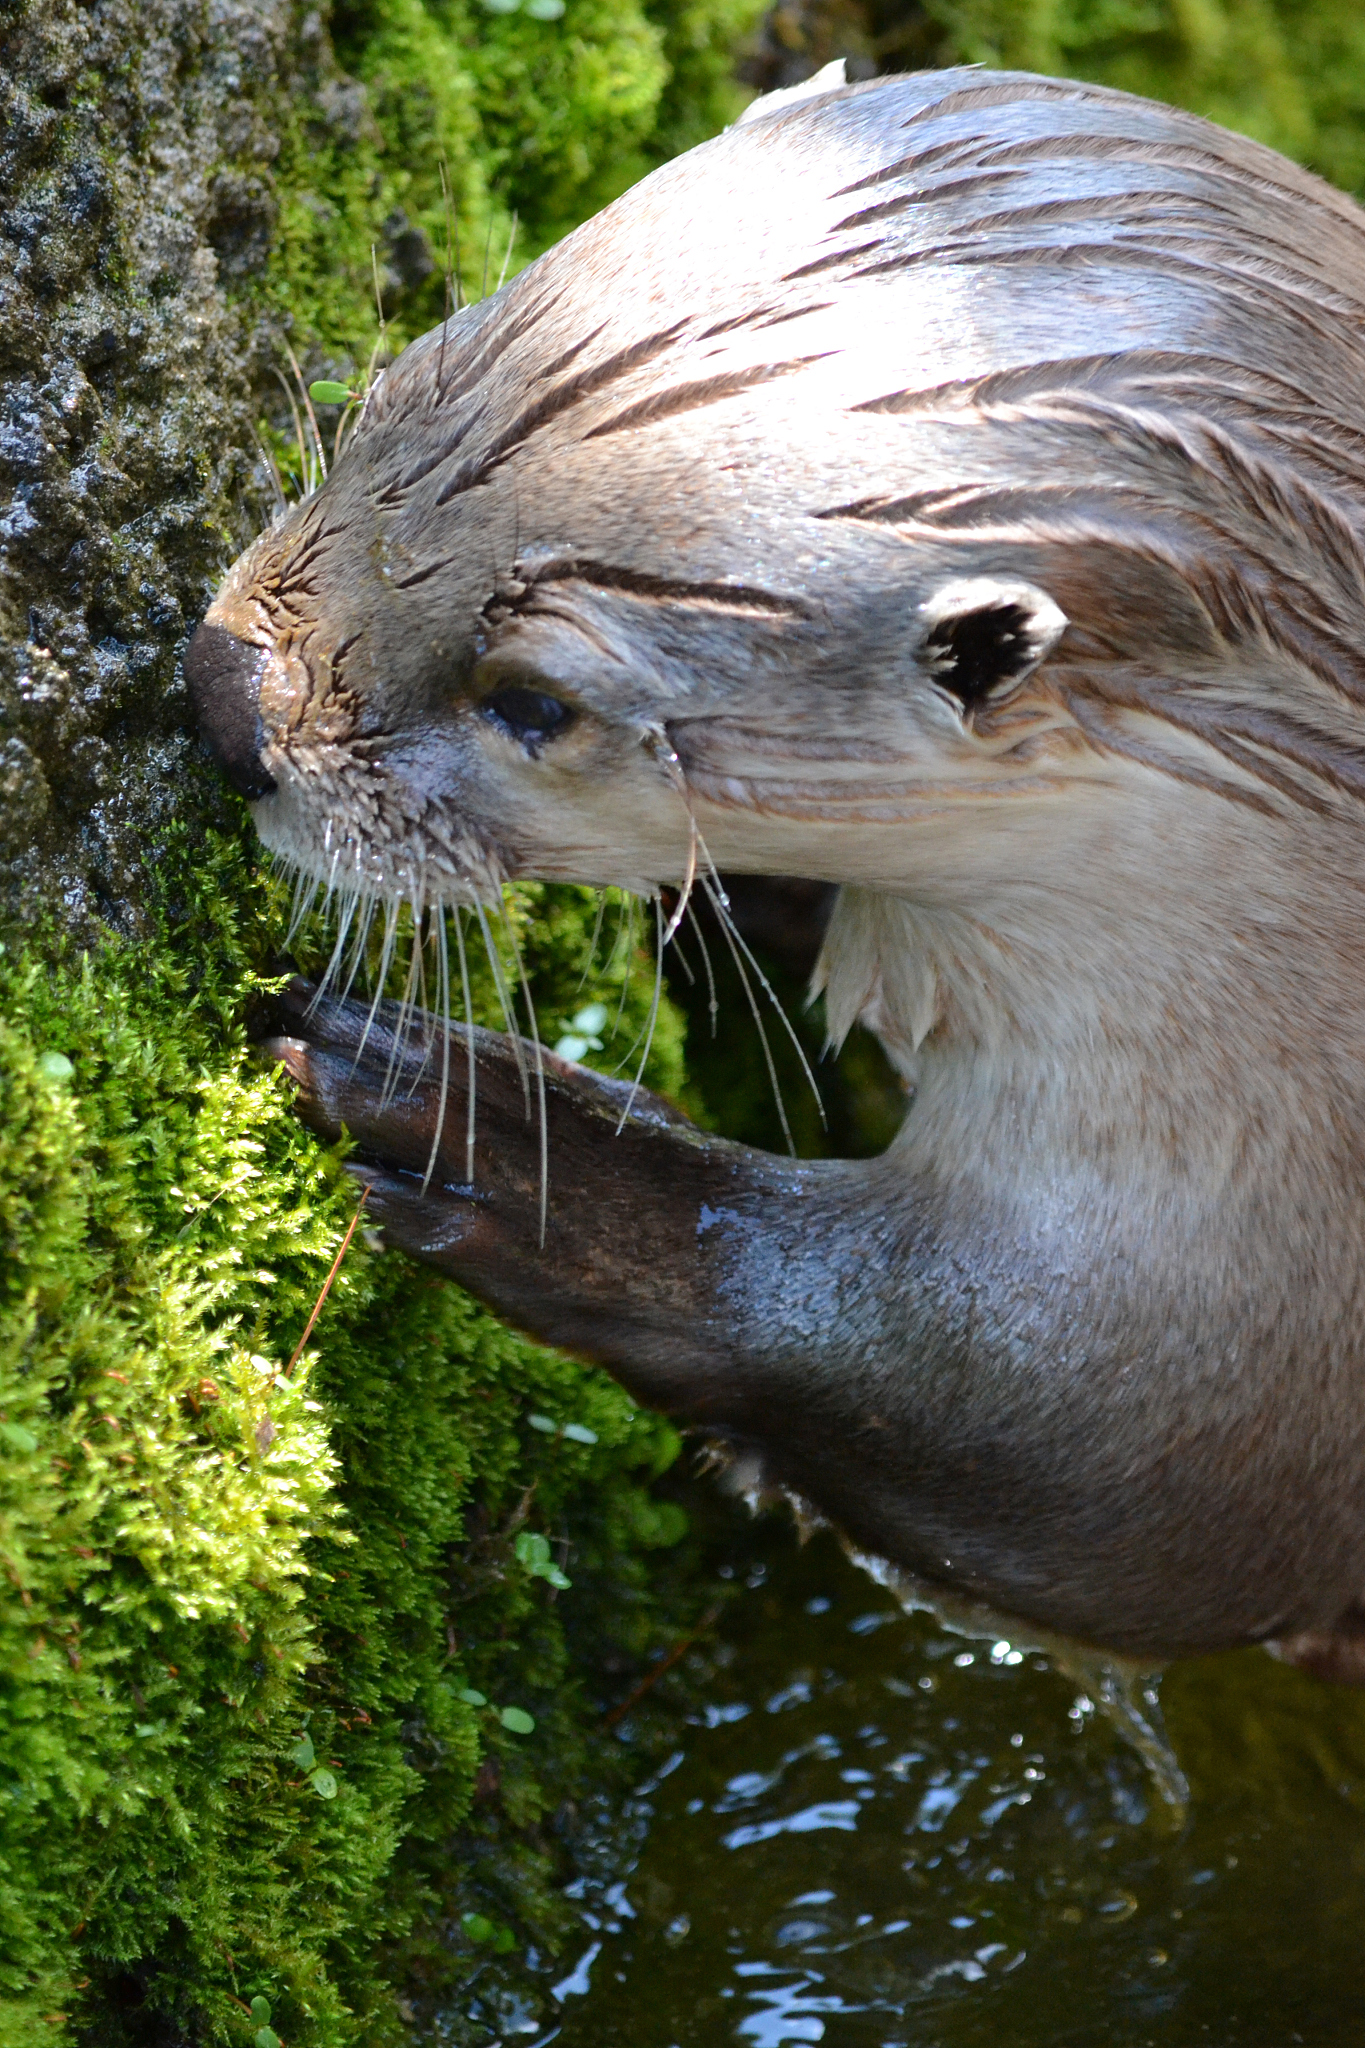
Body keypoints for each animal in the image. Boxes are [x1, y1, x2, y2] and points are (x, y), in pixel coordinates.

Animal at [187, 67, 1365, 1678]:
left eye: (534, 703)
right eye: (389, 390)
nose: (223, 695)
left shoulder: (1242, 1343)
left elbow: (1096, 1479)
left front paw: (509, 1140)